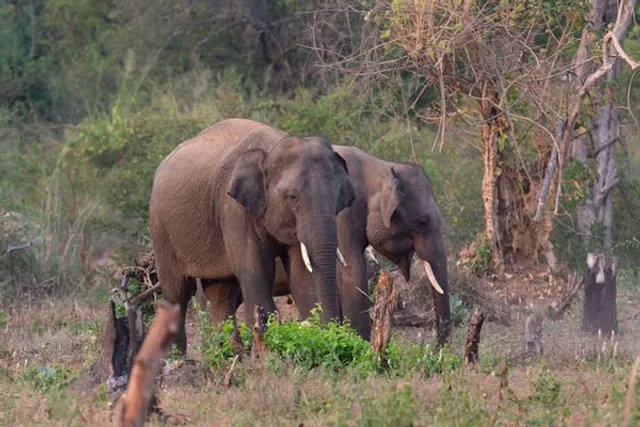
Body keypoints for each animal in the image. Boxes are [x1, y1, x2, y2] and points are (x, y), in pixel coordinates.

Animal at [148, 118, 355, 353]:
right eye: (292, 197)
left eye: (338, 196)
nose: (335, 332)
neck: (274, 147)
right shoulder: (233, 209)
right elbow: (255, 271)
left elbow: (302, 275)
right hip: (161, 230)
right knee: (177, 293)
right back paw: (178, 358)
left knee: (221, 294)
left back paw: (232, 354)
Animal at [202, 145, 452, 347]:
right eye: (423, 221)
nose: (437, 351)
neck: (379, 165)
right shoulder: (343, 219)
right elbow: (352, 274)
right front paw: (358, 344)